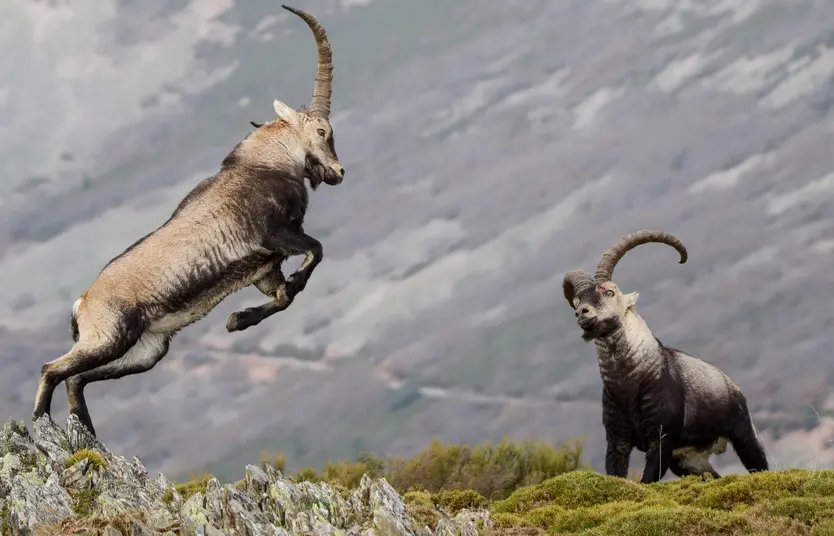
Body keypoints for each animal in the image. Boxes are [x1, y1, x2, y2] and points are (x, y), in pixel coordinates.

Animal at [32, 4, 345, 437]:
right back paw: (41, 422)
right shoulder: (275, 234)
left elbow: (282, 297)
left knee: (76, 378)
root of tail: (83, 302)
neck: (266, 165)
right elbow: (315, 252)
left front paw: (237, 320)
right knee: (52, 369)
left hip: (145, 350)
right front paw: (249, 312)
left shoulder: (264, 266)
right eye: (322, 130)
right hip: (108, 337)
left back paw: (87, 433)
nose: (338, 172)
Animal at [561, 230, 769, 483]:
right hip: (687, 460)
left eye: (610, 292)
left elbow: (648, 479)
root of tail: (731, 384)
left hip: (744, 433)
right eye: (578, 300)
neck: (628, 384)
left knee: (760, 464)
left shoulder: (661, 439)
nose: (581, 312)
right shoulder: (617, 439)